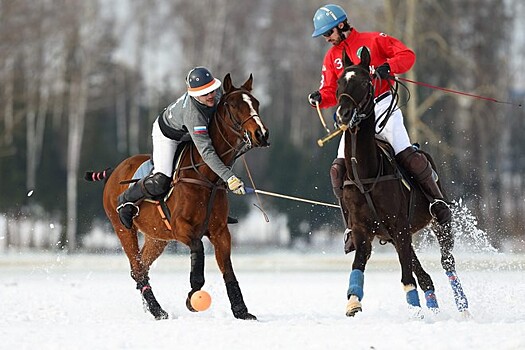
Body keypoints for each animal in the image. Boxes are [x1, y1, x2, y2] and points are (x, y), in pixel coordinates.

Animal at [85, 74, 268, 320]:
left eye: (256, 102)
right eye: (233, 105)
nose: (262, 134)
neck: (206, 175)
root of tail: (114, 170)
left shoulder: (220, 231)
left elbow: (228, 269)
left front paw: (241, 311)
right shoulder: (181, 228)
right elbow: (198, 250)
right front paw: (193, 296)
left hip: (157, 237)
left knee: (141, 268)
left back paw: (153, 308)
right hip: (123, 229)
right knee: (137, 267)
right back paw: (157, 310)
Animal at [334, 47, 468, 318]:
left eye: (364, 82)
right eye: (340, 81)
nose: (343, 114)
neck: (366, 174)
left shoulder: (399, 226)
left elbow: (407, 276)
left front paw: (415, 310)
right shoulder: (364, 231)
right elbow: (358, 264)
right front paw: (353, 302)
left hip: (436, 224)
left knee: (446, 261)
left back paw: (462, 306)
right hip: (398, 236)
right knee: (424, 275)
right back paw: (434, 308)